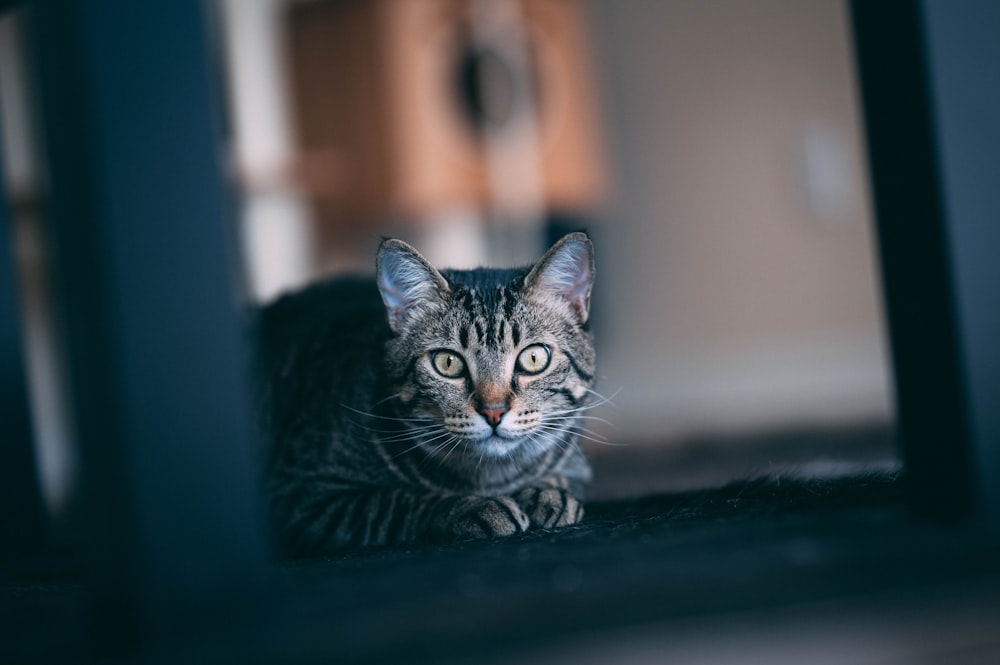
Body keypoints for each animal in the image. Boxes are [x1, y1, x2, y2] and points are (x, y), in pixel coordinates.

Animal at [258, 231, 596, 552]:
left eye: (534, 358)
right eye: (448, 363)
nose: (494, 411)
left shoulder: (578, 468)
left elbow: (565, 478)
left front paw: (548, 492)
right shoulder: (301, 496)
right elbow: (396, 501)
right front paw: (473, 507)